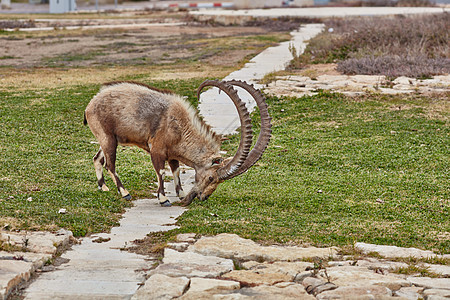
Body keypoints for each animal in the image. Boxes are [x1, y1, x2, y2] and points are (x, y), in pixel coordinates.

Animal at [84, 79, 270, 206]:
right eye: (211, 177)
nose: (203, 197)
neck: (180, 127)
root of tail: (90, 105)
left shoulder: (172, 154)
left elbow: (176, 170)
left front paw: (180, 194)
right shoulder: (157, 149)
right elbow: (161, 171)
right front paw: (164, 198)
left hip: (108, 139)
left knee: (97, 158)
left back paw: (103, 187)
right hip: (108, 138)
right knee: (110, 165)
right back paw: (125, 193)